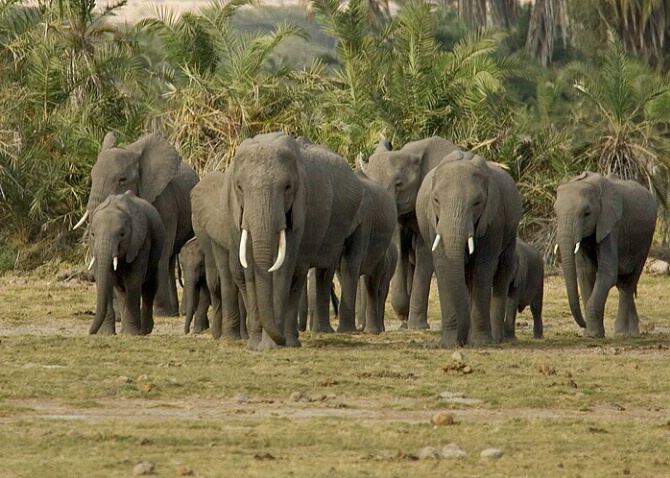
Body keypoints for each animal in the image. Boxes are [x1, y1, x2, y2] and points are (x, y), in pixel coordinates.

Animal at [75, 132, 200, 318]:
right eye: (91, 177)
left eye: (122, 179)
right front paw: (119, 316)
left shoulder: (165, 203)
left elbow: (161, 251)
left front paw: (160, 313)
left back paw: (172, 313)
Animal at [88, 191, 166, 336]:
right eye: (93, 234)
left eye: (122, 234)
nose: (90, 332)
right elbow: (104, 279)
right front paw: (105, 334)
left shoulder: (141, 240)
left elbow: (133, 279)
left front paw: (131, 334)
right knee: (121, 289)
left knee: (150, 287)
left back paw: (144, 331)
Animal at [414, 151, 524, 346]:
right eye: (436, 200)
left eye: (477, 203)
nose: (461, 342)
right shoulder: (432, 222)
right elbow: (443, 268)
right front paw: (449, 343)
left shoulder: (494, 221)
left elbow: (483, 268)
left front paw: (481, 343)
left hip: (510, 231)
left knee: (502, 273)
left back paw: (496, 339)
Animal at [552, 172, 660, 336]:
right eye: (556, 213)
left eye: (587, 214)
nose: (583, 324)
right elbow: (585, 273)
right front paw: (589, 334)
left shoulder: (611, 225)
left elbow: (607, 273)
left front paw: (593, 335)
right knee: (622, 283)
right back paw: (632, 332)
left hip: (646, 240)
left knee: (628, 284)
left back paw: (622, 333)